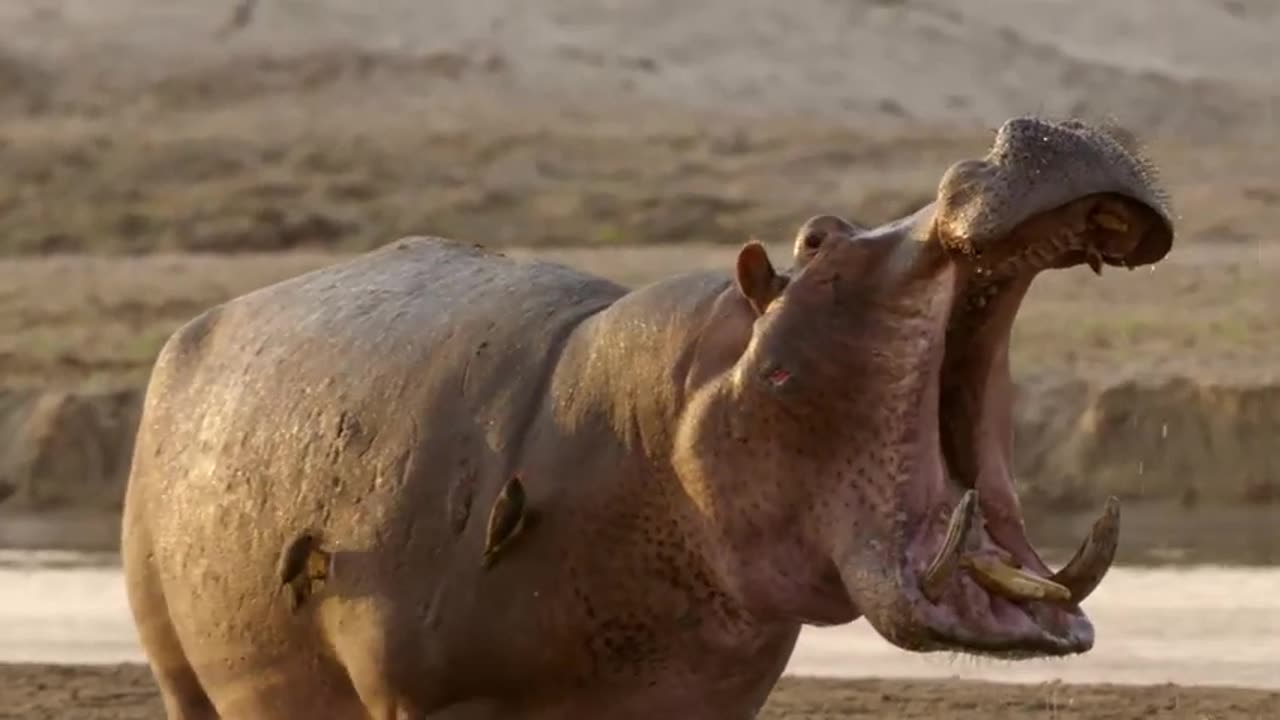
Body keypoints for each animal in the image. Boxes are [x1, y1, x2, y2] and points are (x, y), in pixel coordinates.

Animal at [120, 117, 1172, 717]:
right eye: (818, 237)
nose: (1021, 131)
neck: (653, 426)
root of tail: (185, 336)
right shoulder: (420, 694)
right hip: (179, 667)